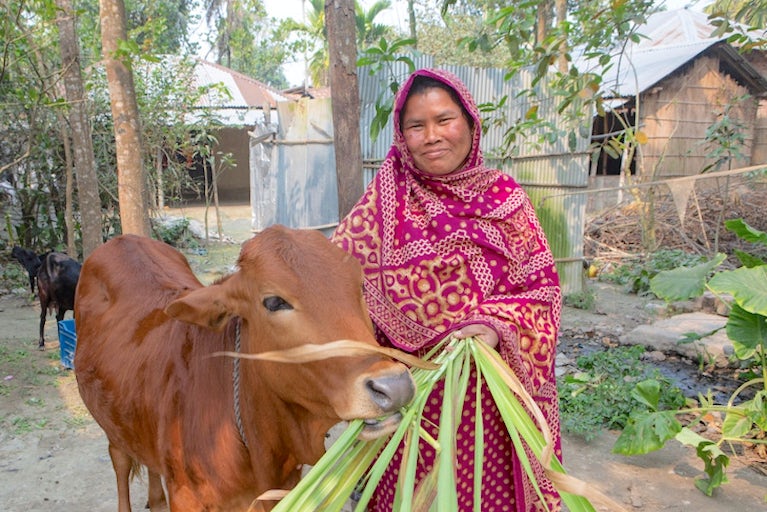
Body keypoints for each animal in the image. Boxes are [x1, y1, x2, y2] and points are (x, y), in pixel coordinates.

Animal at [74, 227, 416, 512]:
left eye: (360, 288)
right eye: (274, 302)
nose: (394, 385)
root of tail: (122, 239)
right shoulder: (186, 498)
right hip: (111, 426)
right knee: (120, 461)